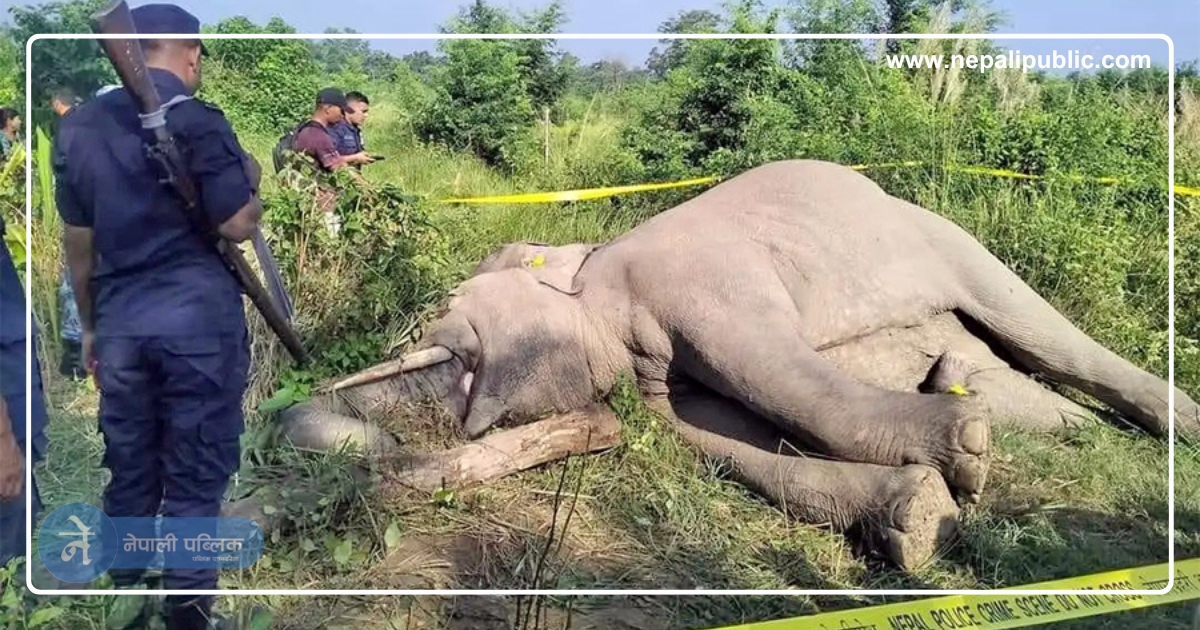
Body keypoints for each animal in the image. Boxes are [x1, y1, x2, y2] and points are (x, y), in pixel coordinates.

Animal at [274, 159, 1200, 571]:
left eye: (455, 326)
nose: (295, 419)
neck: (593, 271)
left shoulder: (701, 282)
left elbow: (770, 375)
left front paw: (963, 463)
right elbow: (719, 437)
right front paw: (920, 520)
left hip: (944, 237)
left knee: (1040, 328)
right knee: (1011, 376)